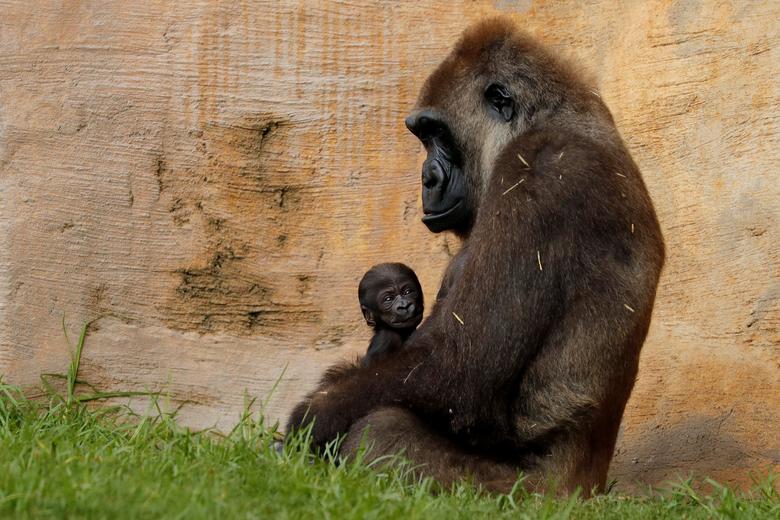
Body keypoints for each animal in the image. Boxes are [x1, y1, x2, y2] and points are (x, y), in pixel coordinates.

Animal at [286, 17, 664, 496]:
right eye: (422, 135)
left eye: (435, 133)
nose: (426, 179)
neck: (553, 116)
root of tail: (588, 492)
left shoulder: (541, 174)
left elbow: (459, 366)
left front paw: (312, 418)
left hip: (532, 496)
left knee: (381, 428)